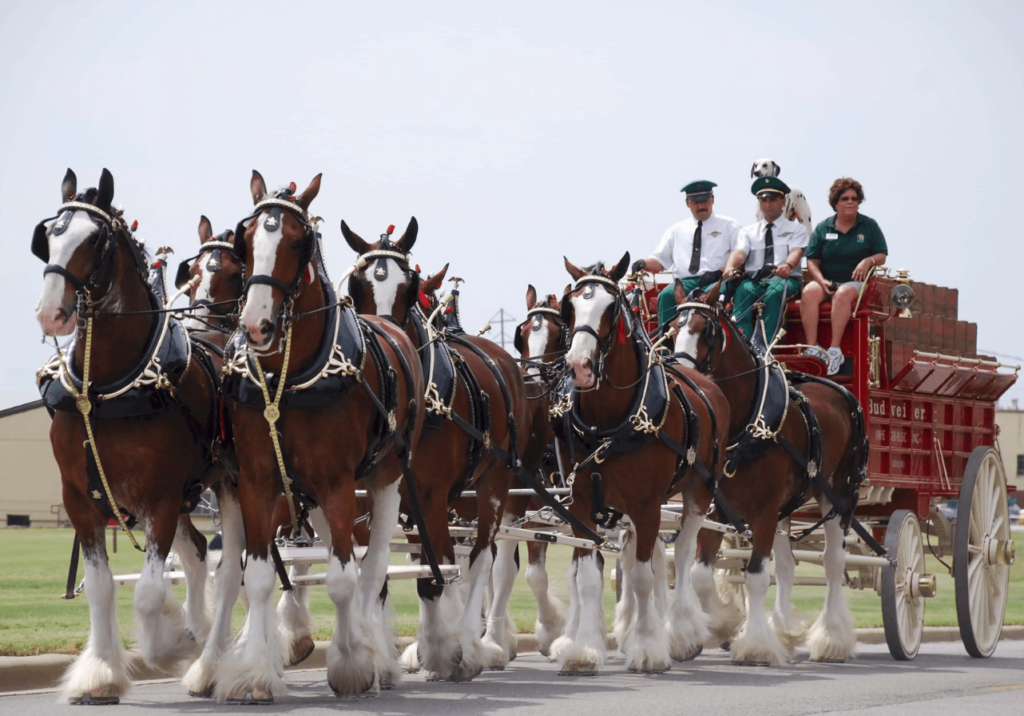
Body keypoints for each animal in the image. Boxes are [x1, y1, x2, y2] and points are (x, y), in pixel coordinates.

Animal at [33, 169, 222, 704]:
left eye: (94, 240)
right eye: (49, 236)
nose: (51, 313)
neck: (106, 389)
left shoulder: (159, 497)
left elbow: (150, 591)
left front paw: (171, 642)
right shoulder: (79, 498)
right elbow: (99, 589)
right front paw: (100, 672)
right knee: (198, 553)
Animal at [216, 174, 423, 700]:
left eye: (297, 241)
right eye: (246, 239)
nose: (256, 325)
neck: (289, 379)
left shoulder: (337, 483)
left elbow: (344, 581)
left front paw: (352, 664)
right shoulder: (260, 481)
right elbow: (260, 576)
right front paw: (254, 672)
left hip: (382, 481)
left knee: (372, 569)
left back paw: (376, 652)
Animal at [344, 222, 532, 676]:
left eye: (409, 289)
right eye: (357, 286)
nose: (387, 342)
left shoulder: (430, 494)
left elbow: (439, 572)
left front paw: (445, 650)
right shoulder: (384, 494)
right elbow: (392, 569)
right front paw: (402, 652)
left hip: (495, 484)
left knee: (482, 558)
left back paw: (474, 642)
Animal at [552, 255, 729, 676]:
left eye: (610, 308)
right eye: (571, 307)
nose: (579, 366)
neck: (608, 423)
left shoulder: (648, 505)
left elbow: (645, 577)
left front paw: (649, 647)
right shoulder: (581, 504)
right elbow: (589, 577)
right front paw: (584, 649)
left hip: (699, 492)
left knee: (684, 554)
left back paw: (679, 631)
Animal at [675, 282, 868, 663]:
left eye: (705, 329)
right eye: (673, 327)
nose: (683, 375)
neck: (747, 421)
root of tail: (842, 392)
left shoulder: (763, 511)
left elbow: (755, 576)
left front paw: (755, 645)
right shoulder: (717, 508)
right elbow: (702, 574)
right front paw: (724, 624)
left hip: (837, 495)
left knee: (833, 562)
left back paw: (832, 638)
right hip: (786, 506)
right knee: (788, 564)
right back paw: (784, 631)